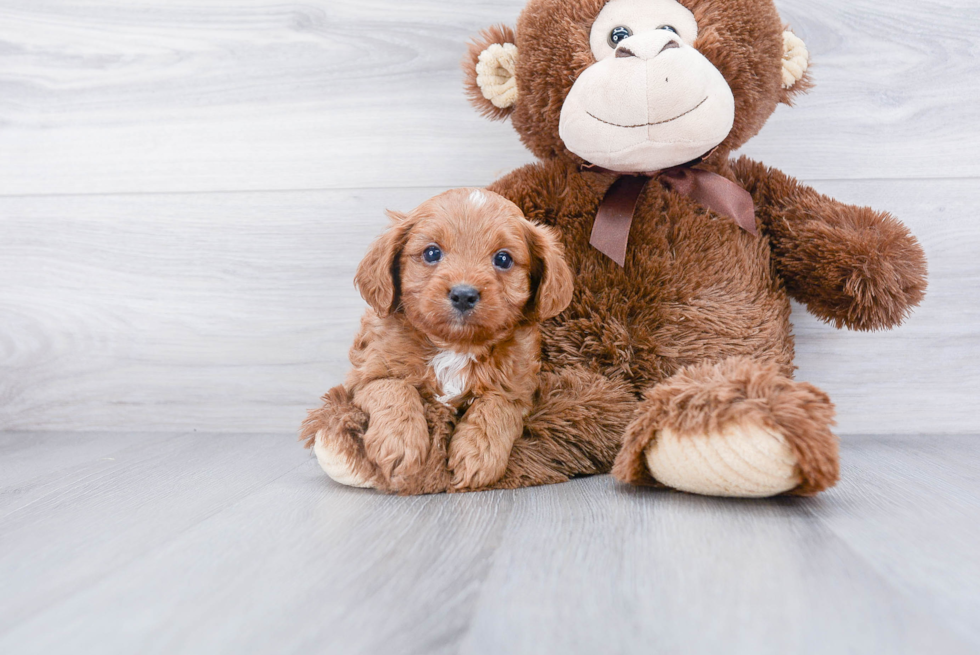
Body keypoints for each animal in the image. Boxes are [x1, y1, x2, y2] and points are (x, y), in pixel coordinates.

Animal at [336, 188, 572, 492]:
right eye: (432, 252)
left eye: (503, 259)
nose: (463, 294)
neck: (454, 346)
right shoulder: (366, 374)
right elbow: (393, 388)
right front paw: (400, 443)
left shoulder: (518, 389)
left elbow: (497, 406)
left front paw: (478, 454)